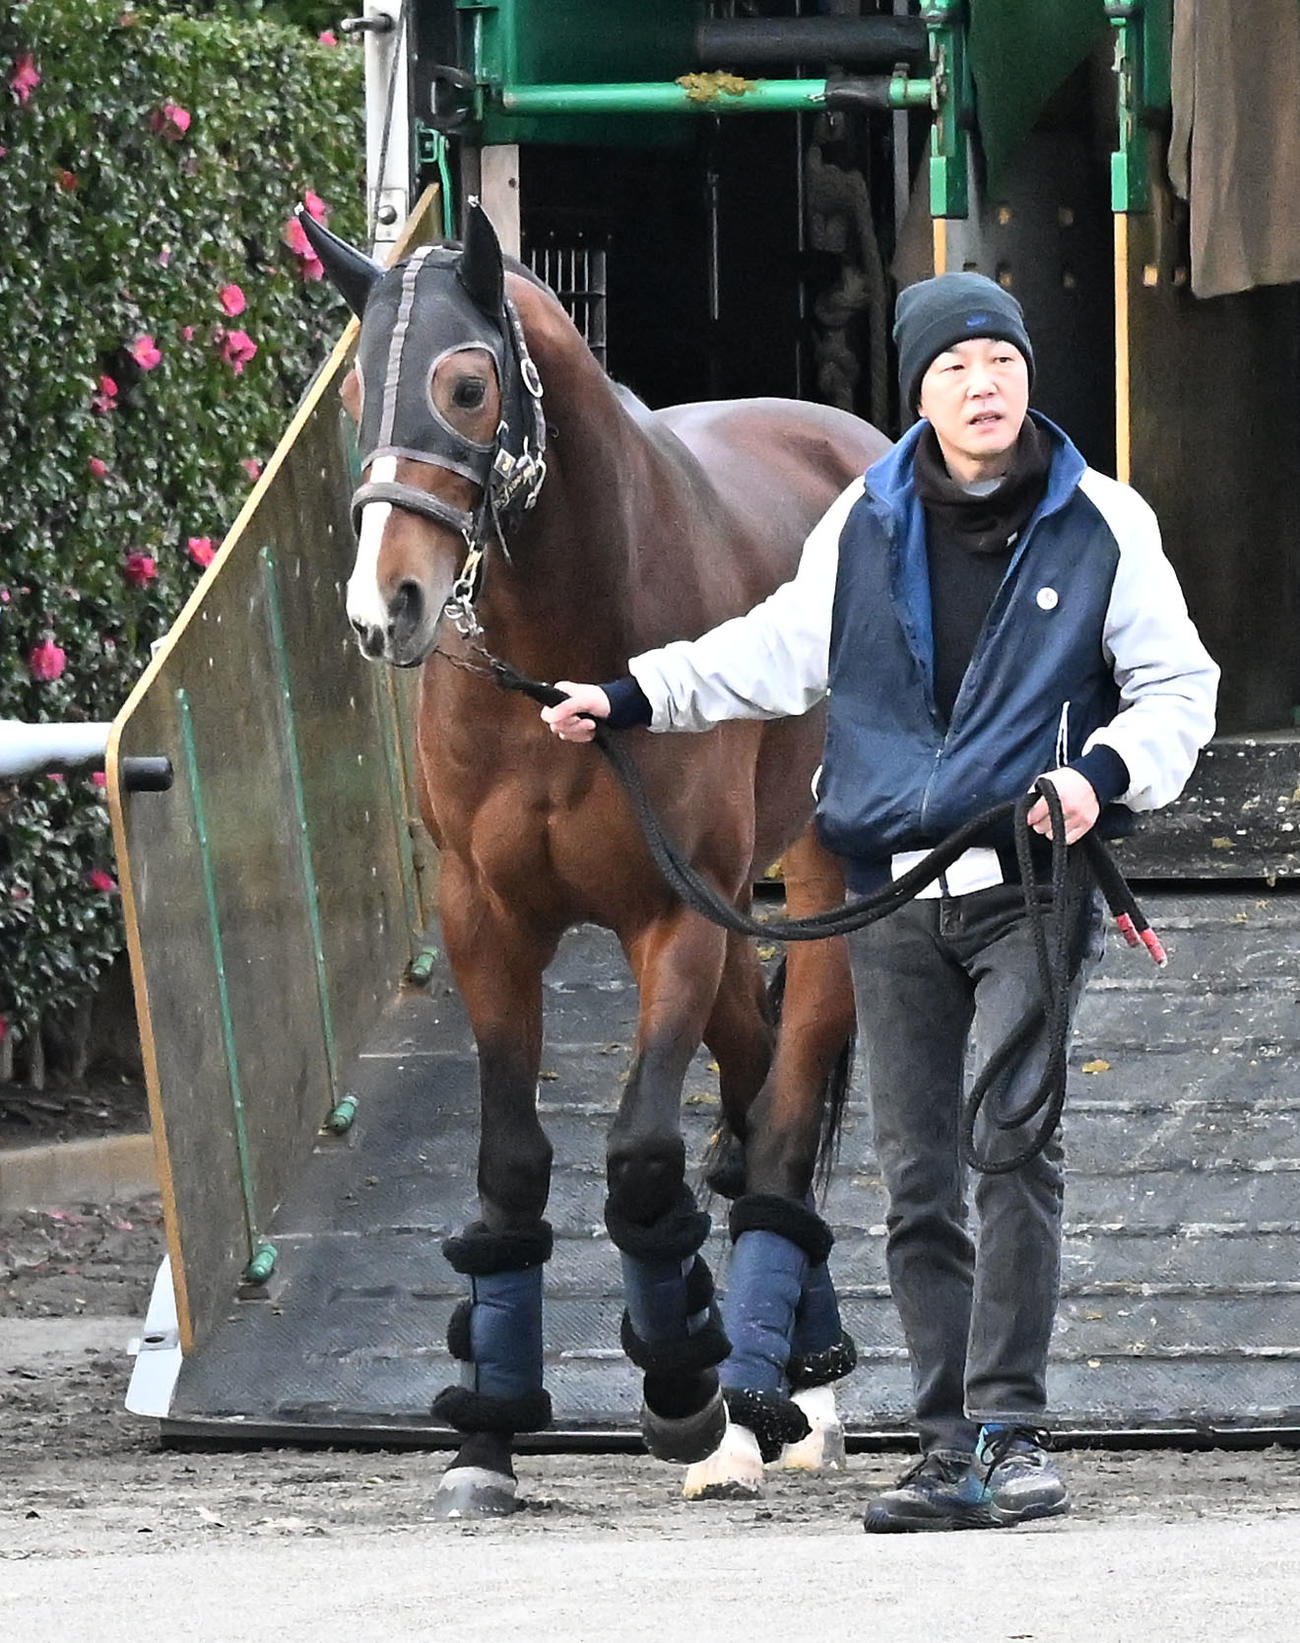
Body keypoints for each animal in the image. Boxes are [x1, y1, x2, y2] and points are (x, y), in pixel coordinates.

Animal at [299, 202, 892, 1517]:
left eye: (467, 385)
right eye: (357, 391)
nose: (382, 607)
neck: (563, 652)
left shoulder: (675, 918)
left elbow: (636, 1157)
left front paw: (682, 1390)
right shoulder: (488, 919)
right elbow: (514, 1164)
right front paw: (486, 1435)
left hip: (814, 882)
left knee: (784, 1103)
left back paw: (774, 1399)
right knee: (750, 1089)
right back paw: (782, 1378)